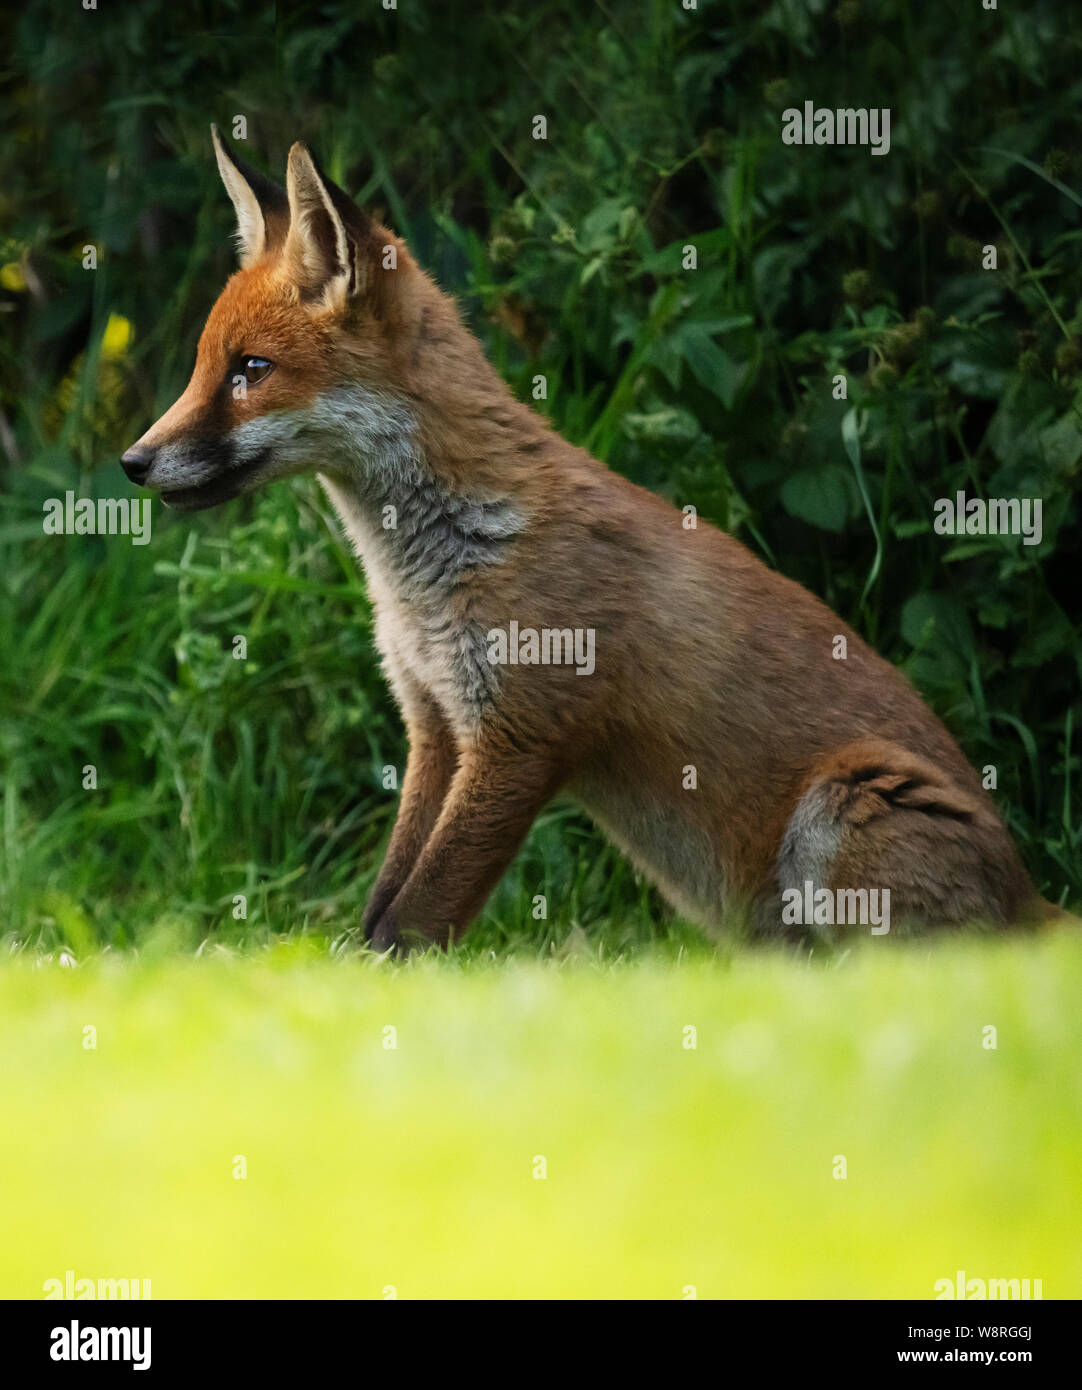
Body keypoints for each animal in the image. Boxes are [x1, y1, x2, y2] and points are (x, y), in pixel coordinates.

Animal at [124, 130, 1045, 950]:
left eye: (251, 370)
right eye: (203, 366)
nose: (134, 461)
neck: (428, 572)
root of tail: (1038, 902)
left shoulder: (522, 737)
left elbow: (413, 920)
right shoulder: (435, 725)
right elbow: (383, 901)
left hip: (845, 809)